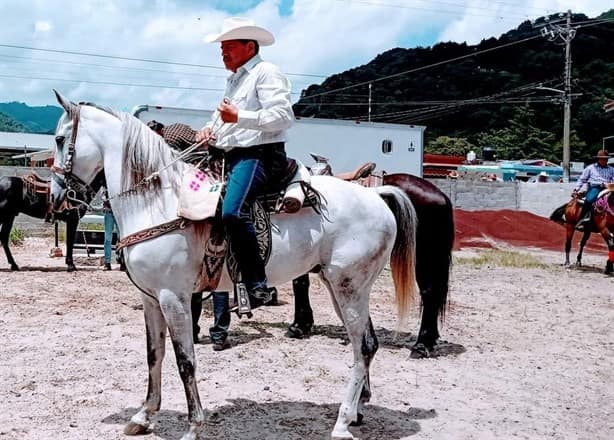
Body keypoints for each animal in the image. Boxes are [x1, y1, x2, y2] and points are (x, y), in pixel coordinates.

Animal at [50, 91, 422, 438]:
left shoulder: (174, 298)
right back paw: (357, 412)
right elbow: (154, 355)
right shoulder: (151, 299)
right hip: (341, 288)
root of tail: (376, 196)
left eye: (59, 139)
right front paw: (143, 416)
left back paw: (342, 422)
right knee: (367, 345)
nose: (57, 199)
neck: (159, 202)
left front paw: (193, 426)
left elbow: (185, 361)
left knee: (363, 347)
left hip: (350, 288)